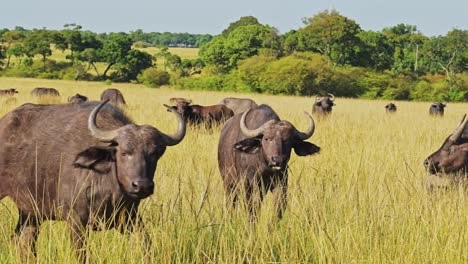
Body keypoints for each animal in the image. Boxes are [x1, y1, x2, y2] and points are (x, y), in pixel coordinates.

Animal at [0, 100, 186, 260]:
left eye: (155, 153)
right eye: (124, 152)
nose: (142, 186)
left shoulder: (130, 219)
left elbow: (146, 245)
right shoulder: (76, 221)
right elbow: (81, 255)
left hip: (30, 213)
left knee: (23, 240)